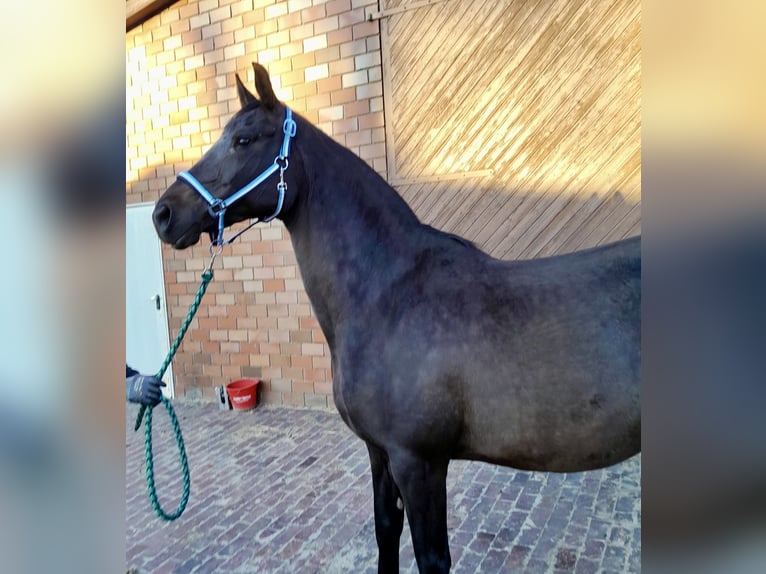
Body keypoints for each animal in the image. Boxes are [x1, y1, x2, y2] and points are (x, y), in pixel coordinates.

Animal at [153, 63, 640, 573]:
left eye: (244, 139)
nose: (163, 214)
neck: (387, 294)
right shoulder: (378, 451)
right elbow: (386, 530)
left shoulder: (418, 461)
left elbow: (431, 556)